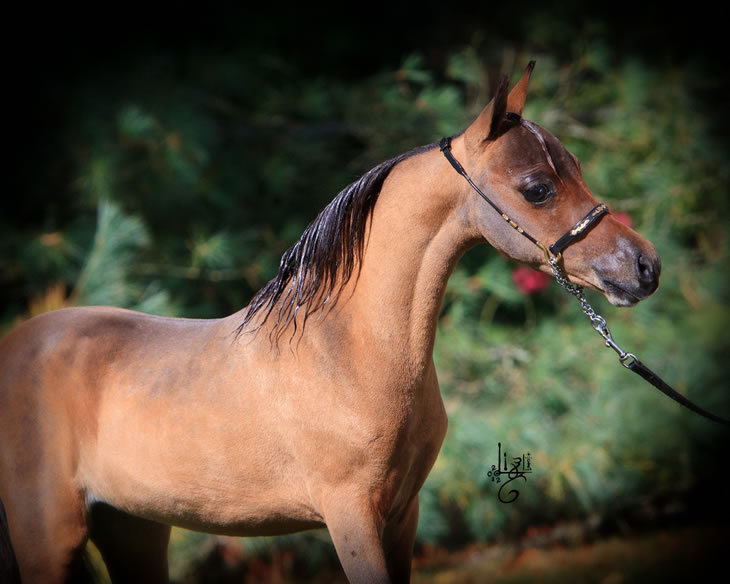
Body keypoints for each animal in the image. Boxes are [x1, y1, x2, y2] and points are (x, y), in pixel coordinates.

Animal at [1, 61, 660, 580]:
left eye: (576, 167)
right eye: (536, 188)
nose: (644, 267)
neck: (349, 351)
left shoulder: (401, 516)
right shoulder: (351, 517)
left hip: (133, 529)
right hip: (49, 540)